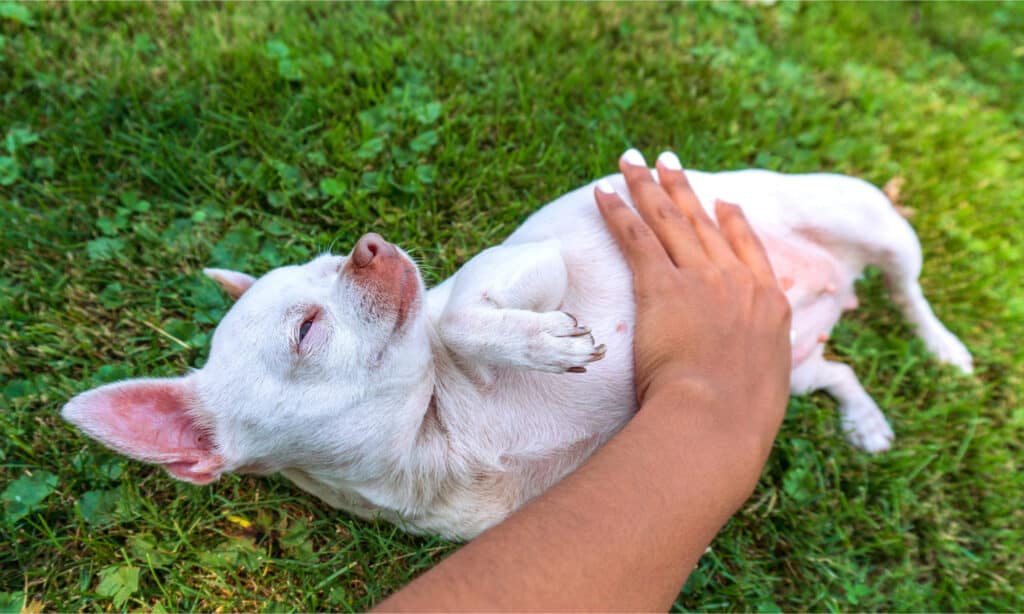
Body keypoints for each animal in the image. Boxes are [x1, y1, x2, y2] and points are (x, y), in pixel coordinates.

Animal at [59, 157, 970, 536]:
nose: (369, 247)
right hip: (791, 362)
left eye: (325, 262)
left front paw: (542, 343)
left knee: (908, 287)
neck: (444, 434)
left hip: (874, 225)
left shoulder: (529, 263)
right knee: (838, 367)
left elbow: (462, 314)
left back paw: (945, 346)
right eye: (307, 330)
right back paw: (864, 419)